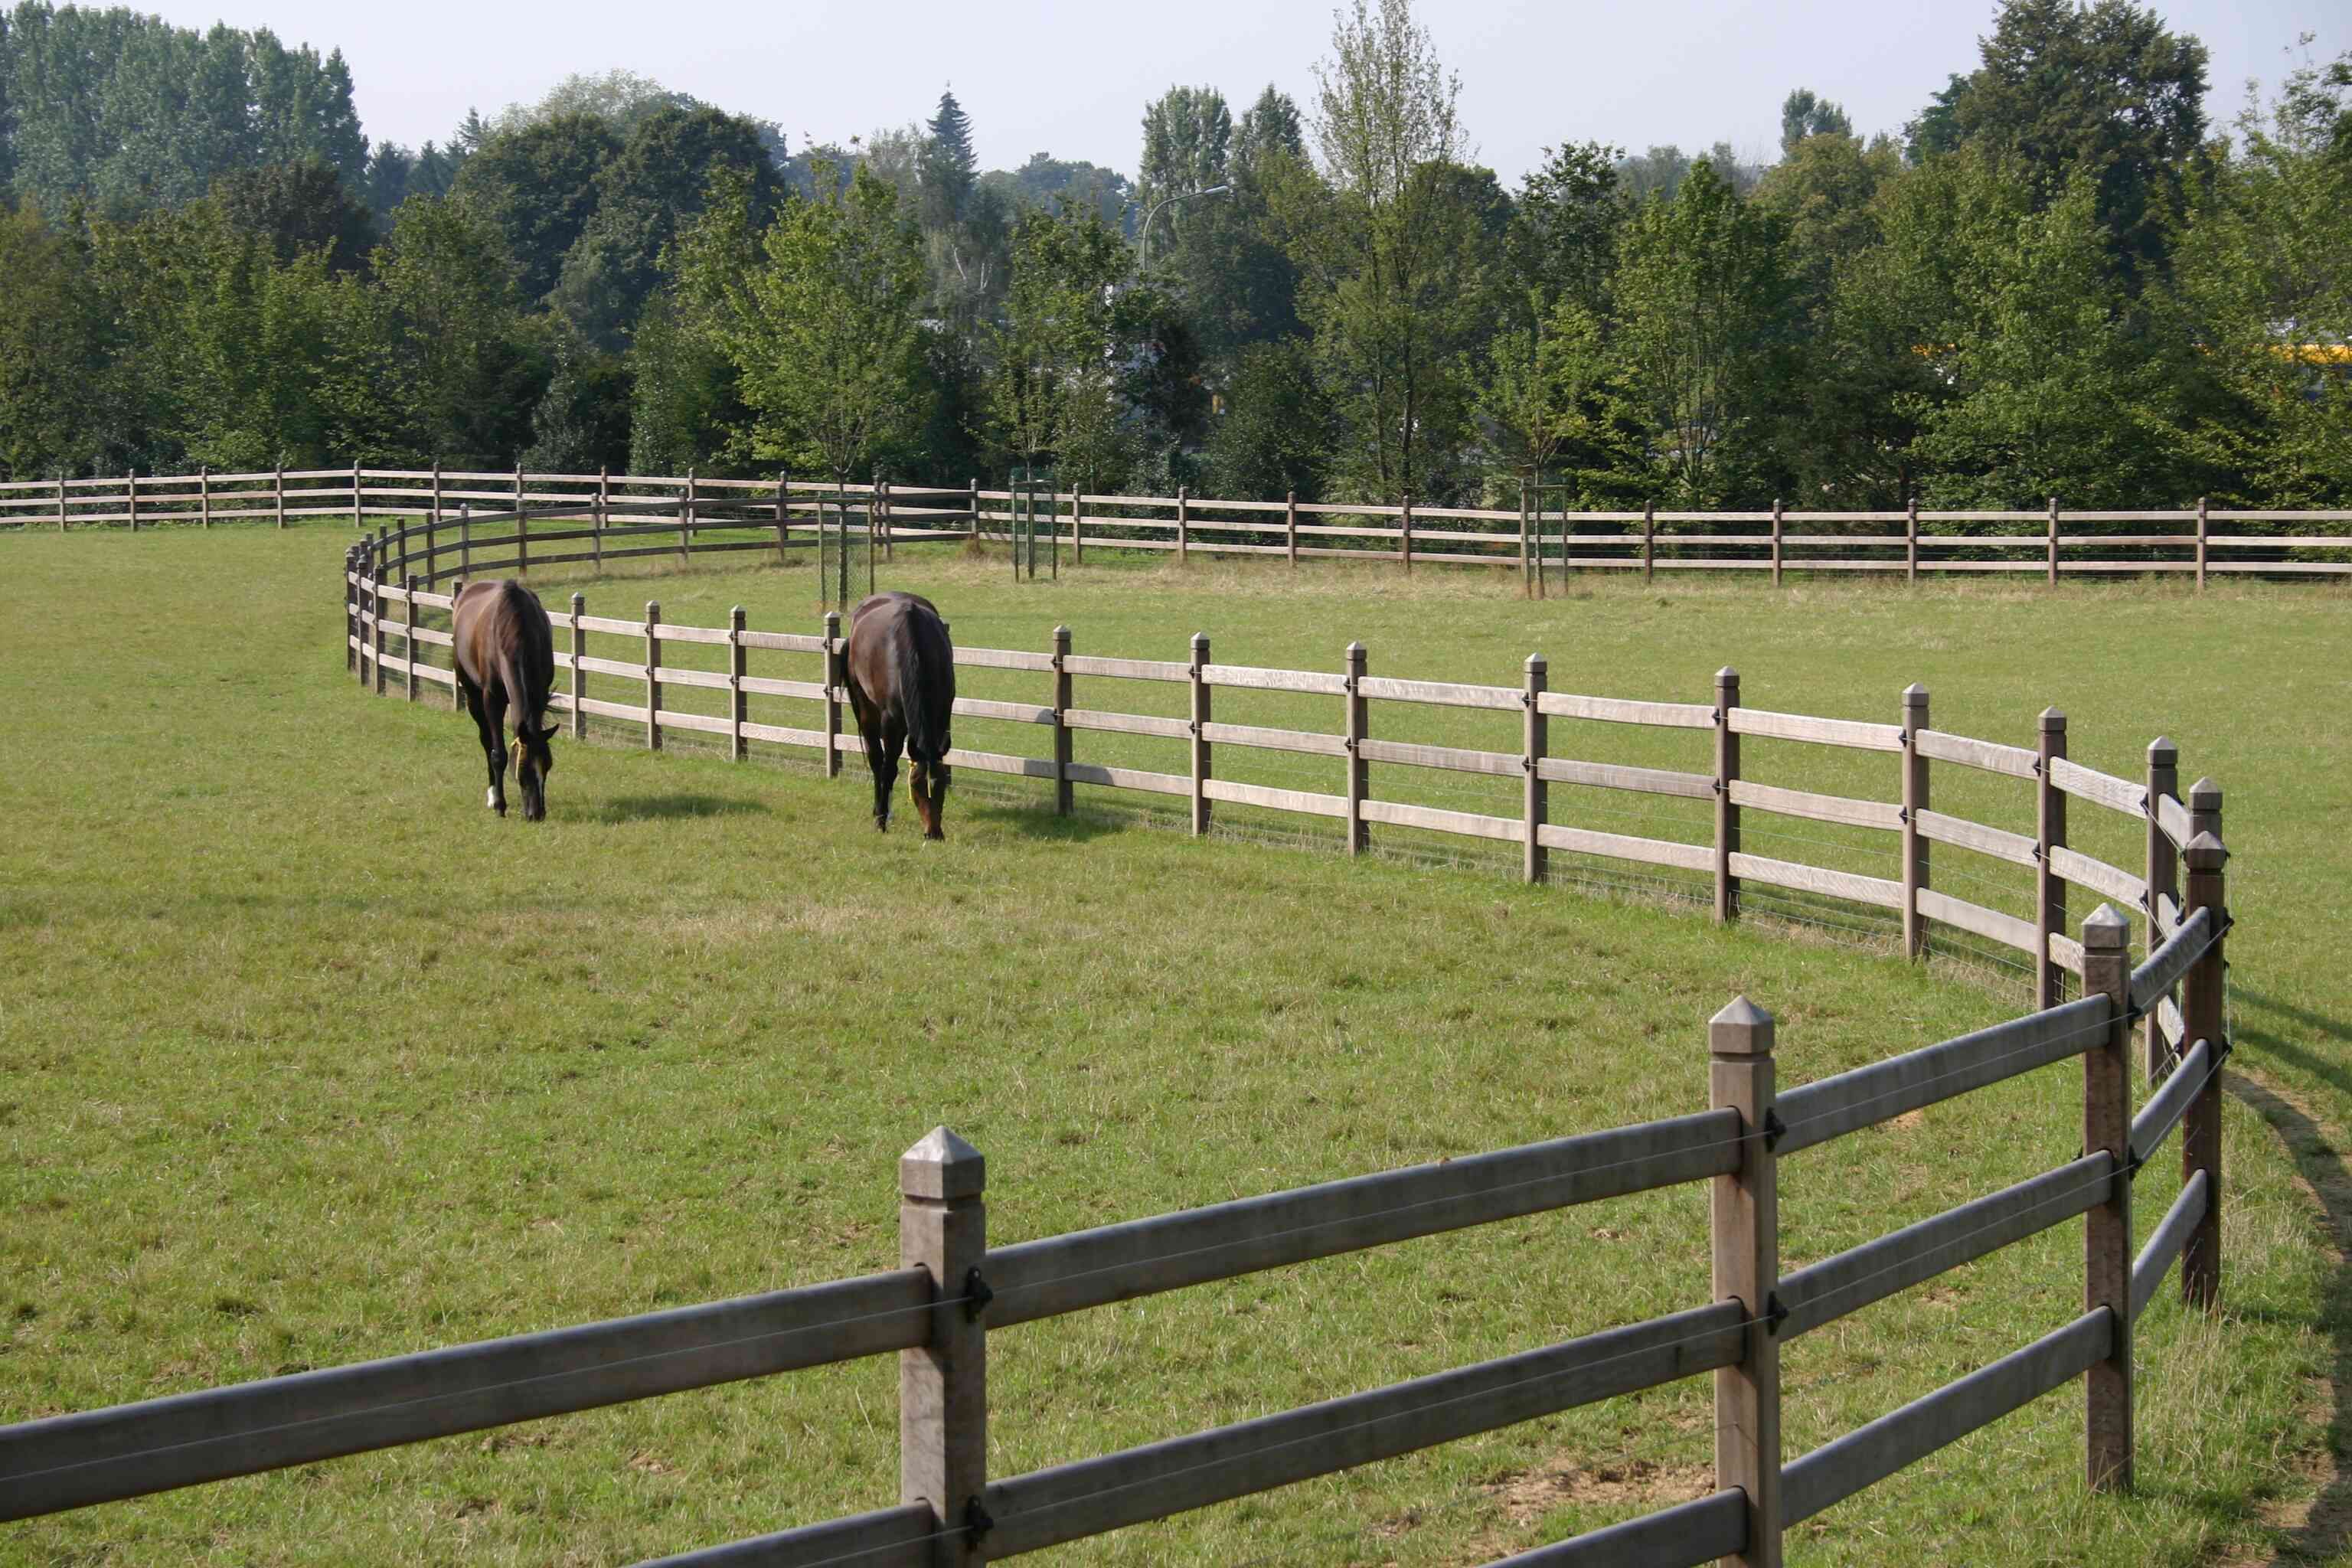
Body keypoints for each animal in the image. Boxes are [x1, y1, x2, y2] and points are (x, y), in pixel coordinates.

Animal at [451, 579, 559, 822]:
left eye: (547, 766)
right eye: (523, 769)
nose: (536, 813)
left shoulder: (540, 693)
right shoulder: (492, 699)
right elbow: (497, 753)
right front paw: (500, 804)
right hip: (472, 694)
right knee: (486, 741)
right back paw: (493, 796)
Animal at [843, 591, 955, 839]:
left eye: (941, 786)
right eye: (916, 787)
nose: (934, 834)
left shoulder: (943, 715)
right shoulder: (891, 723)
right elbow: (889, 769)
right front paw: (881, 820)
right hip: (867, 710)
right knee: (877, 761)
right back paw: (880, 811)